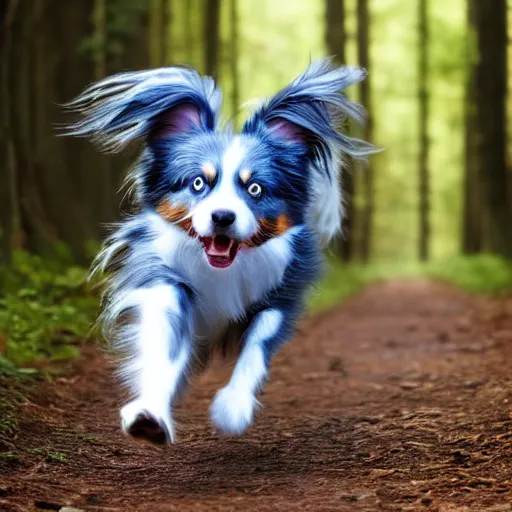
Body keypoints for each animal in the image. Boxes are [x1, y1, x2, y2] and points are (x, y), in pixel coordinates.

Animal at [66, 57, 374, 444]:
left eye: (255, 189)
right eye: (198, 183)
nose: (223, 217)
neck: (221, 270)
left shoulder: (280, 296)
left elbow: (256, 347)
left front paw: (233, 407)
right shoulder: (166, 281)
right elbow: (165, 344)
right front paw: (150, 414)